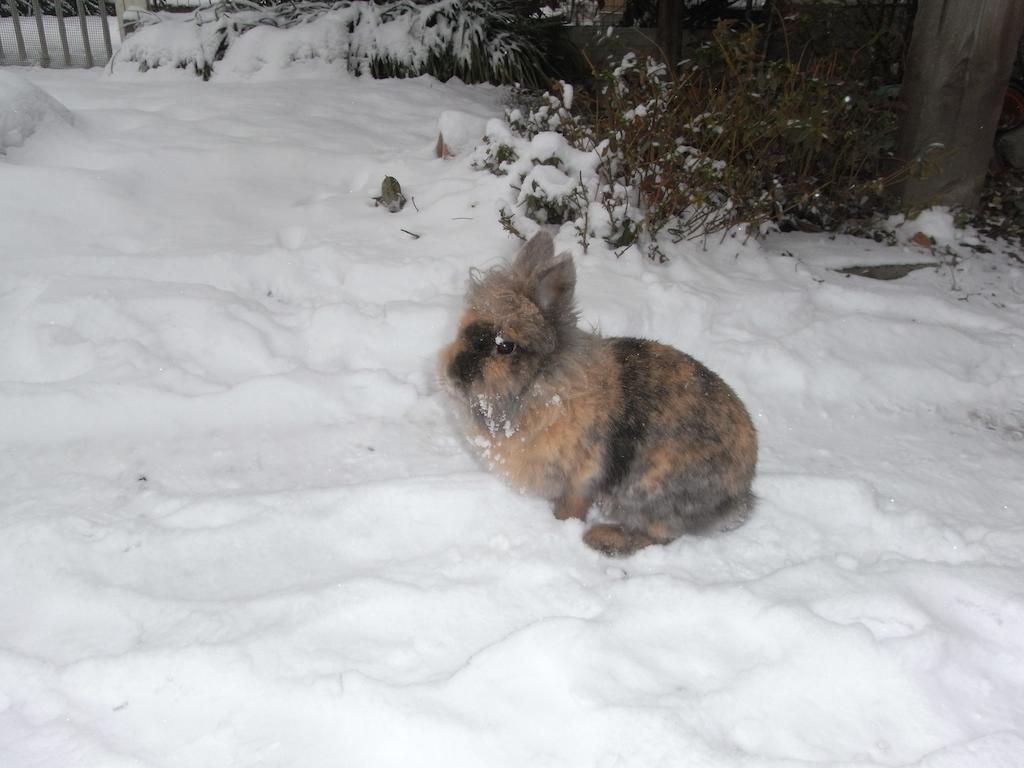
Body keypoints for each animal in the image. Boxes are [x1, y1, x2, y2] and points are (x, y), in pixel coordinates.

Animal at [436, 231, 757, 557]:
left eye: (505, 347)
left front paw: (562, 524)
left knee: (661, 535)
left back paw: (602, 538)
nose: (452, 375)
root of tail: (738, 496)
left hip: (649, 489)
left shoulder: (581, 478)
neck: (542, 384)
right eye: (463, 329)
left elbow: (573, 506)